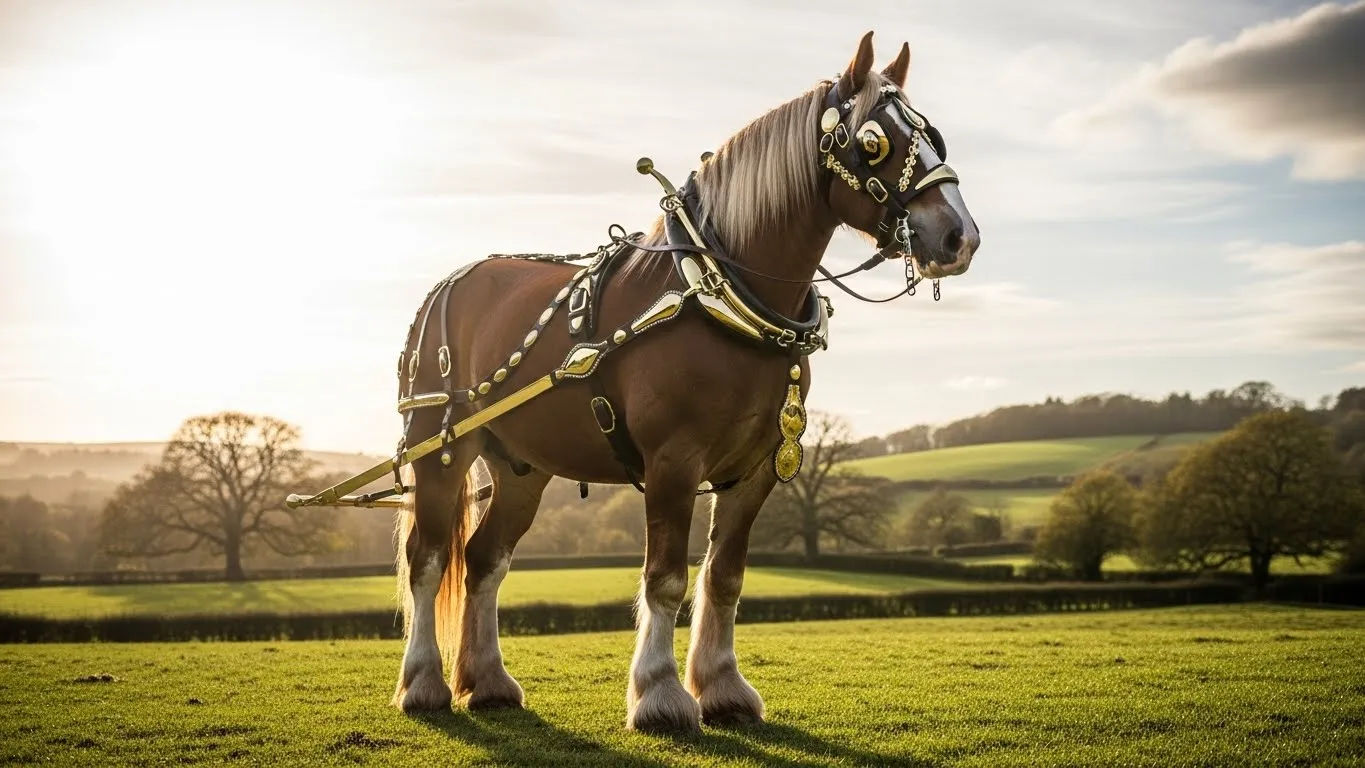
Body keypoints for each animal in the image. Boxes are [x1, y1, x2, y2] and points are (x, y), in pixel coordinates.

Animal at [391, 31, 979, 734]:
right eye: (872, 141)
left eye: (934, 135)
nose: (959, 235)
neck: (723, 293)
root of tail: (448, 284)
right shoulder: (672, 461)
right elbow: (666, 578)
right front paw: (661, 694)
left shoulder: (757, 469)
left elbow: (724, 578)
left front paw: (723, 687)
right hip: (440, 450)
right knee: (427, 560)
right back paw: (423, 683)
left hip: (521, 466)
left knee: (484, 561)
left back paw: (488, 682)